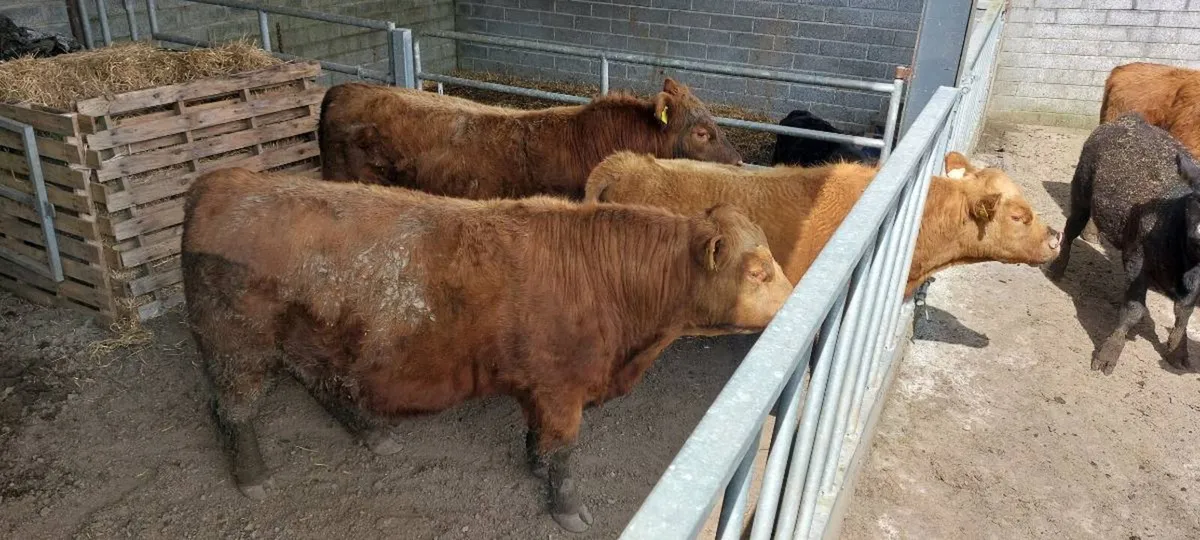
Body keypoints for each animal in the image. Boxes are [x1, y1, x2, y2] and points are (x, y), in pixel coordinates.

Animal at [181, 168, 792, 533]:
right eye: (757, 270)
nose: (795, 299)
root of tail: (225, 179)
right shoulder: (561, 389)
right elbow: (564, 452)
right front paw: (568, 509)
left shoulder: (540, 389)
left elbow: (539, 439)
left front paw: (533, 466)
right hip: (236, 348)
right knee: (231, 409)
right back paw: (253, 477)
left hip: (313, 341)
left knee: (321, 384)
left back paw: (374, 435)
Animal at [1048, 113, 1200, 375]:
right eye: (1196, 198)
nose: (1199, 233)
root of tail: (1130, 119)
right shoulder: (1137, 261)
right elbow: (1133, 309)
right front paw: (1108, 354)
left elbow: (1184, 314)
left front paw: (1178, 353)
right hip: (1081, 192)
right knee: (1069, 231)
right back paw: (1057, 268)